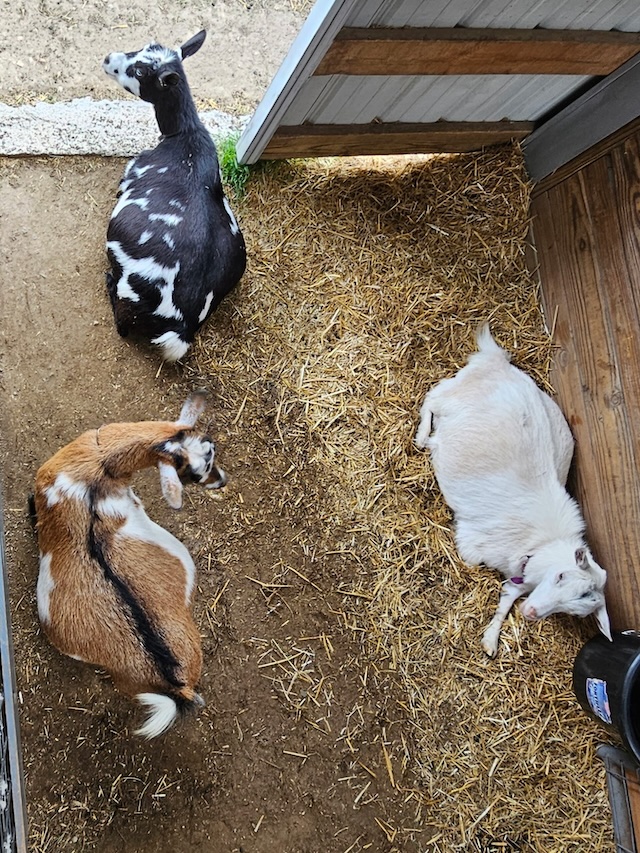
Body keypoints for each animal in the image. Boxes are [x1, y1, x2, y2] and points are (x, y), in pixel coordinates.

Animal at [102, 30, 246, 362]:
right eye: (145, 45)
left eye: (140, 72)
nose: (108, 58)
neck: (184, 134)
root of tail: (184, 324)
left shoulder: (130, 172)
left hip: (128, 298)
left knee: (121, 324)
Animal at [415, 325, 612, 657]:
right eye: (560, 576)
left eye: (574, 611)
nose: (531, 614)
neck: (542, 544)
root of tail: (498, 362)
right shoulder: (472, 547)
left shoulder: (521, 579)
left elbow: (507, 598)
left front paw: (491, 640)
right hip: (453, 396)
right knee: (433, 396)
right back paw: (424, 437)